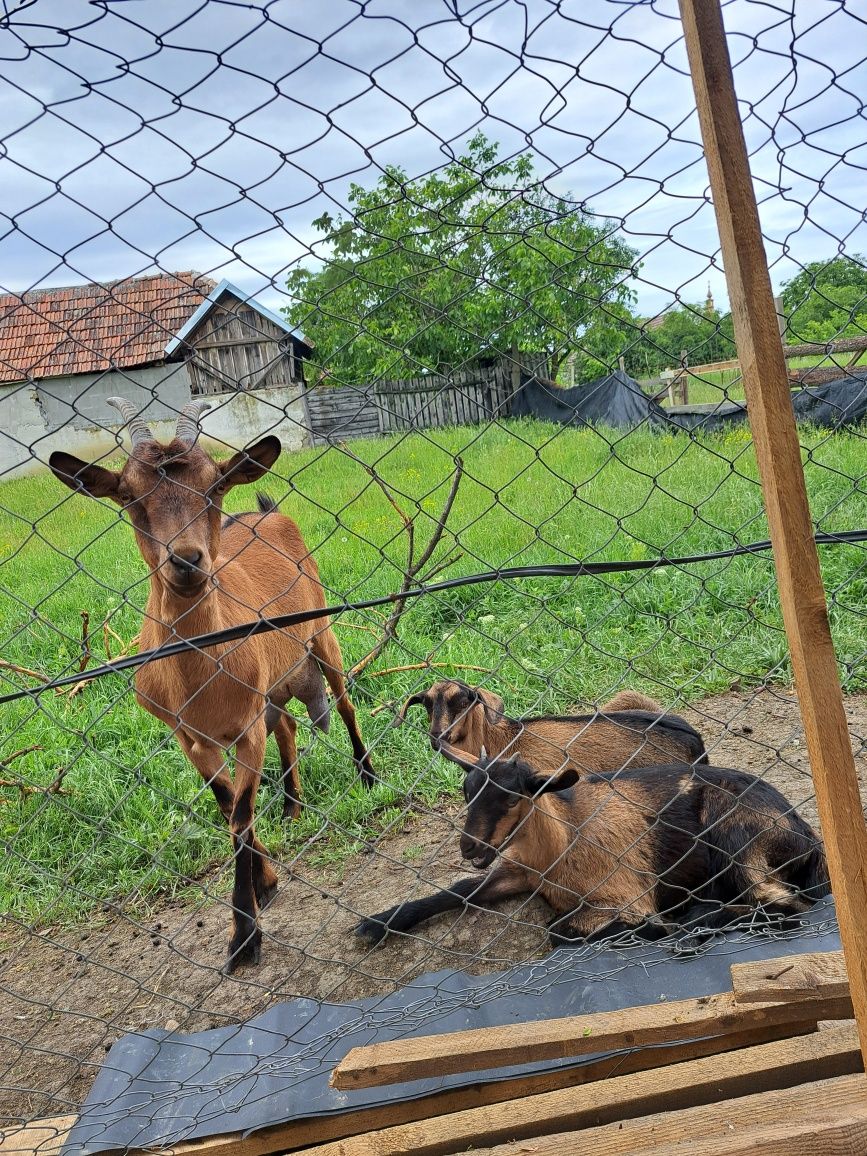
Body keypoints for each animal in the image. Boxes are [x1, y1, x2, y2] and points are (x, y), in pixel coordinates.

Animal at [48, 402, 374, 971]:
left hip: (322, 633)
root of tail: (267, 511)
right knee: (288, 726)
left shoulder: (245, 730)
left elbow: (240, 816)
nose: (185, 560)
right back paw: (291, 806)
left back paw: (367, 775)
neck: (200, 678)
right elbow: (225, 807)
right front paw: (265, 882)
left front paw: (244, 936)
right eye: (128, 495)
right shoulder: (190, 737)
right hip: (274, 686)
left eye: (215, 485)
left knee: (345, 702)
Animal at [356, 739, 832, 947]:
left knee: (784, 905)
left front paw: (655, 926)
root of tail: (807, 838)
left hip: (738, 833)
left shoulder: (626, 894)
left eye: (512, 796)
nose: (469, 848)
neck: (564, 838)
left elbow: (556, 932)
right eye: (466, 789)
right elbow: (457, 891)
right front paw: (378, 923)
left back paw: (692, 924)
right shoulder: (516, 870)